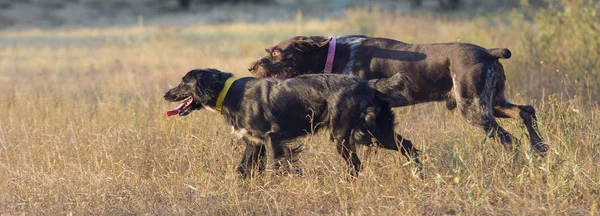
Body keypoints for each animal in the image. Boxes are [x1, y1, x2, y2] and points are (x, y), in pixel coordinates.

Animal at [162, 68, 420, 178]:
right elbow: (243, 169)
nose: (166, 94)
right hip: (375, 131)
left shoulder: (272, 138)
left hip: (347, 135)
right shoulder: (253, 143)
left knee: (355, 165)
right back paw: (419, 175)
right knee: (409, 146)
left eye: (184, 82)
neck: (231, 93)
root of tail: (369, 84)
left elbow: (276, 167)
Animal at [246, 35, 548, 155]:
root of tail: (488, 52)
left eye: (277, 52)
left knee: (509, 139)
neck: (335, 54)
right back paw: (539, 148)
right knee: (526, 111)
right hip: (493, 103)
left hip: (474, 108)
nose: (250, 66)